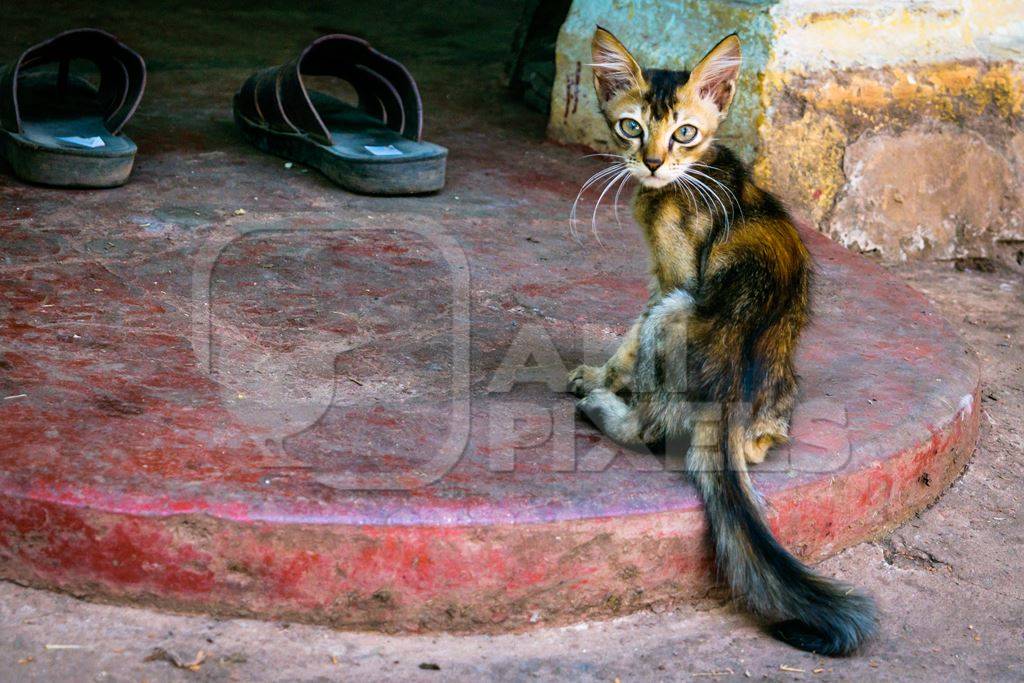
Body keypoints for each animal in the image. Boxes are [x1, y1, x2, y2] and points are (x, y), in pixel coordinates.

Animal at [565, 28, 876, 655]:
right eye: (631, 127)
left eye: (684, 132)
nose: (652, 163)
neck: (697, 169)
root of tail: (729, 403)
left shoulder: (672, 281)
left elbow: (630, 334)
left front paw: (599, 375)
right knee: (756, 444)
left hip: (678, 311)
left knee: (650, 427)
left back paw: (604, 406)